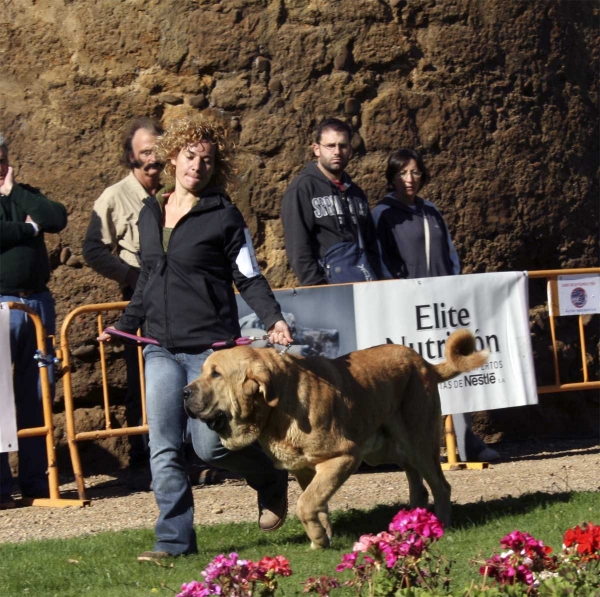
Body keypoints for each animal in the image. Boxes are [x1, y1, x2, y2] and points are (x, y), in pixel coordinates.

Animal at [184, 328, 488, 548]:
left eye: (216, 374)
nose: (184, 393)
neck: (279, 403)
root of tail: (423, 362)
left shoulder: (344, 456)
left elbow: (306, 502)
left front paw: (318, 538)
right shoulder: (305, 469)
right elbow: (317, 502)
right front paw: (322, 538)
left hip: (417, 442)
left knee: (440, 485)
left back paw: (441, 524)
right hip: (384, 448)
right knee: (418, 483)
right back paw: (412, 522)